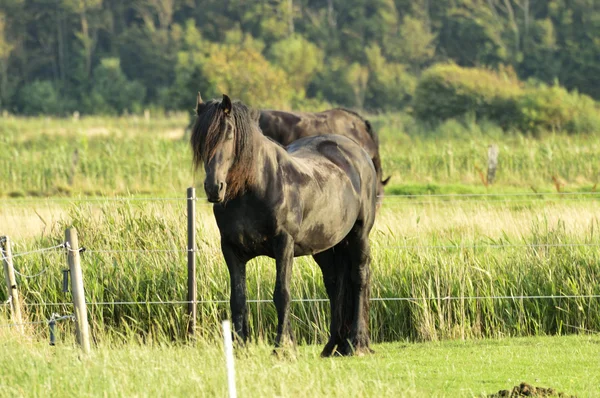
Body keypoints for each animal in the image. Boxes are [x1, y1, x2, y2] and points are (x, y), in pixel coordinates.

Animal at [190, 94, 378, 358]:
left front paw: (283, 346)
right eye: (200, 138)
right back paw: (332, 346)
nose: (214, 187)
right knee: (335, 285)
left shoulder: (284, 245)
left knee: (359, 278)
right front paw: (240, 346)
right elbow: (237, 298)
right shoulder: (231, 250)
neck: (255, 188)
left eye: (228, 133)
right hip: (326, 246)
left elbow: (282, 294)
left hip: (359, 235)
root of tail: (358, 152)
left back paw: (356, 342)